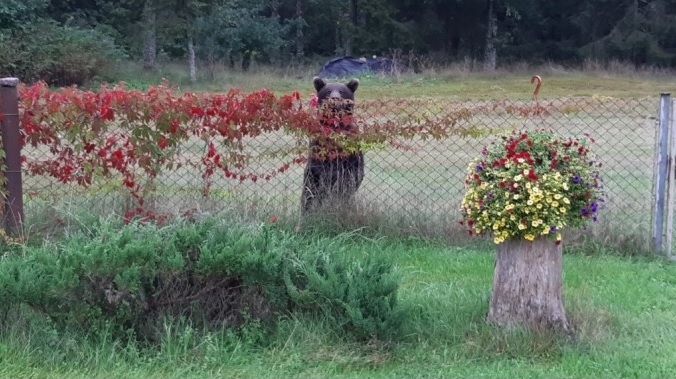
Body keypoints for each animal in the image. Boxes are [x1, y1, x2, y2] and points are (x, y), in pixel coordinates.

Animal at [302, 76, 364, 217]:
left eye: (341, 91)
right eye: (328, 90)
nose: (334, 98)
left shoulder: (352, 144)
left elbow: (352, 173)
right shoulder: (319, 144)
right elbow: (319, 169)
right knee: (308, 194)